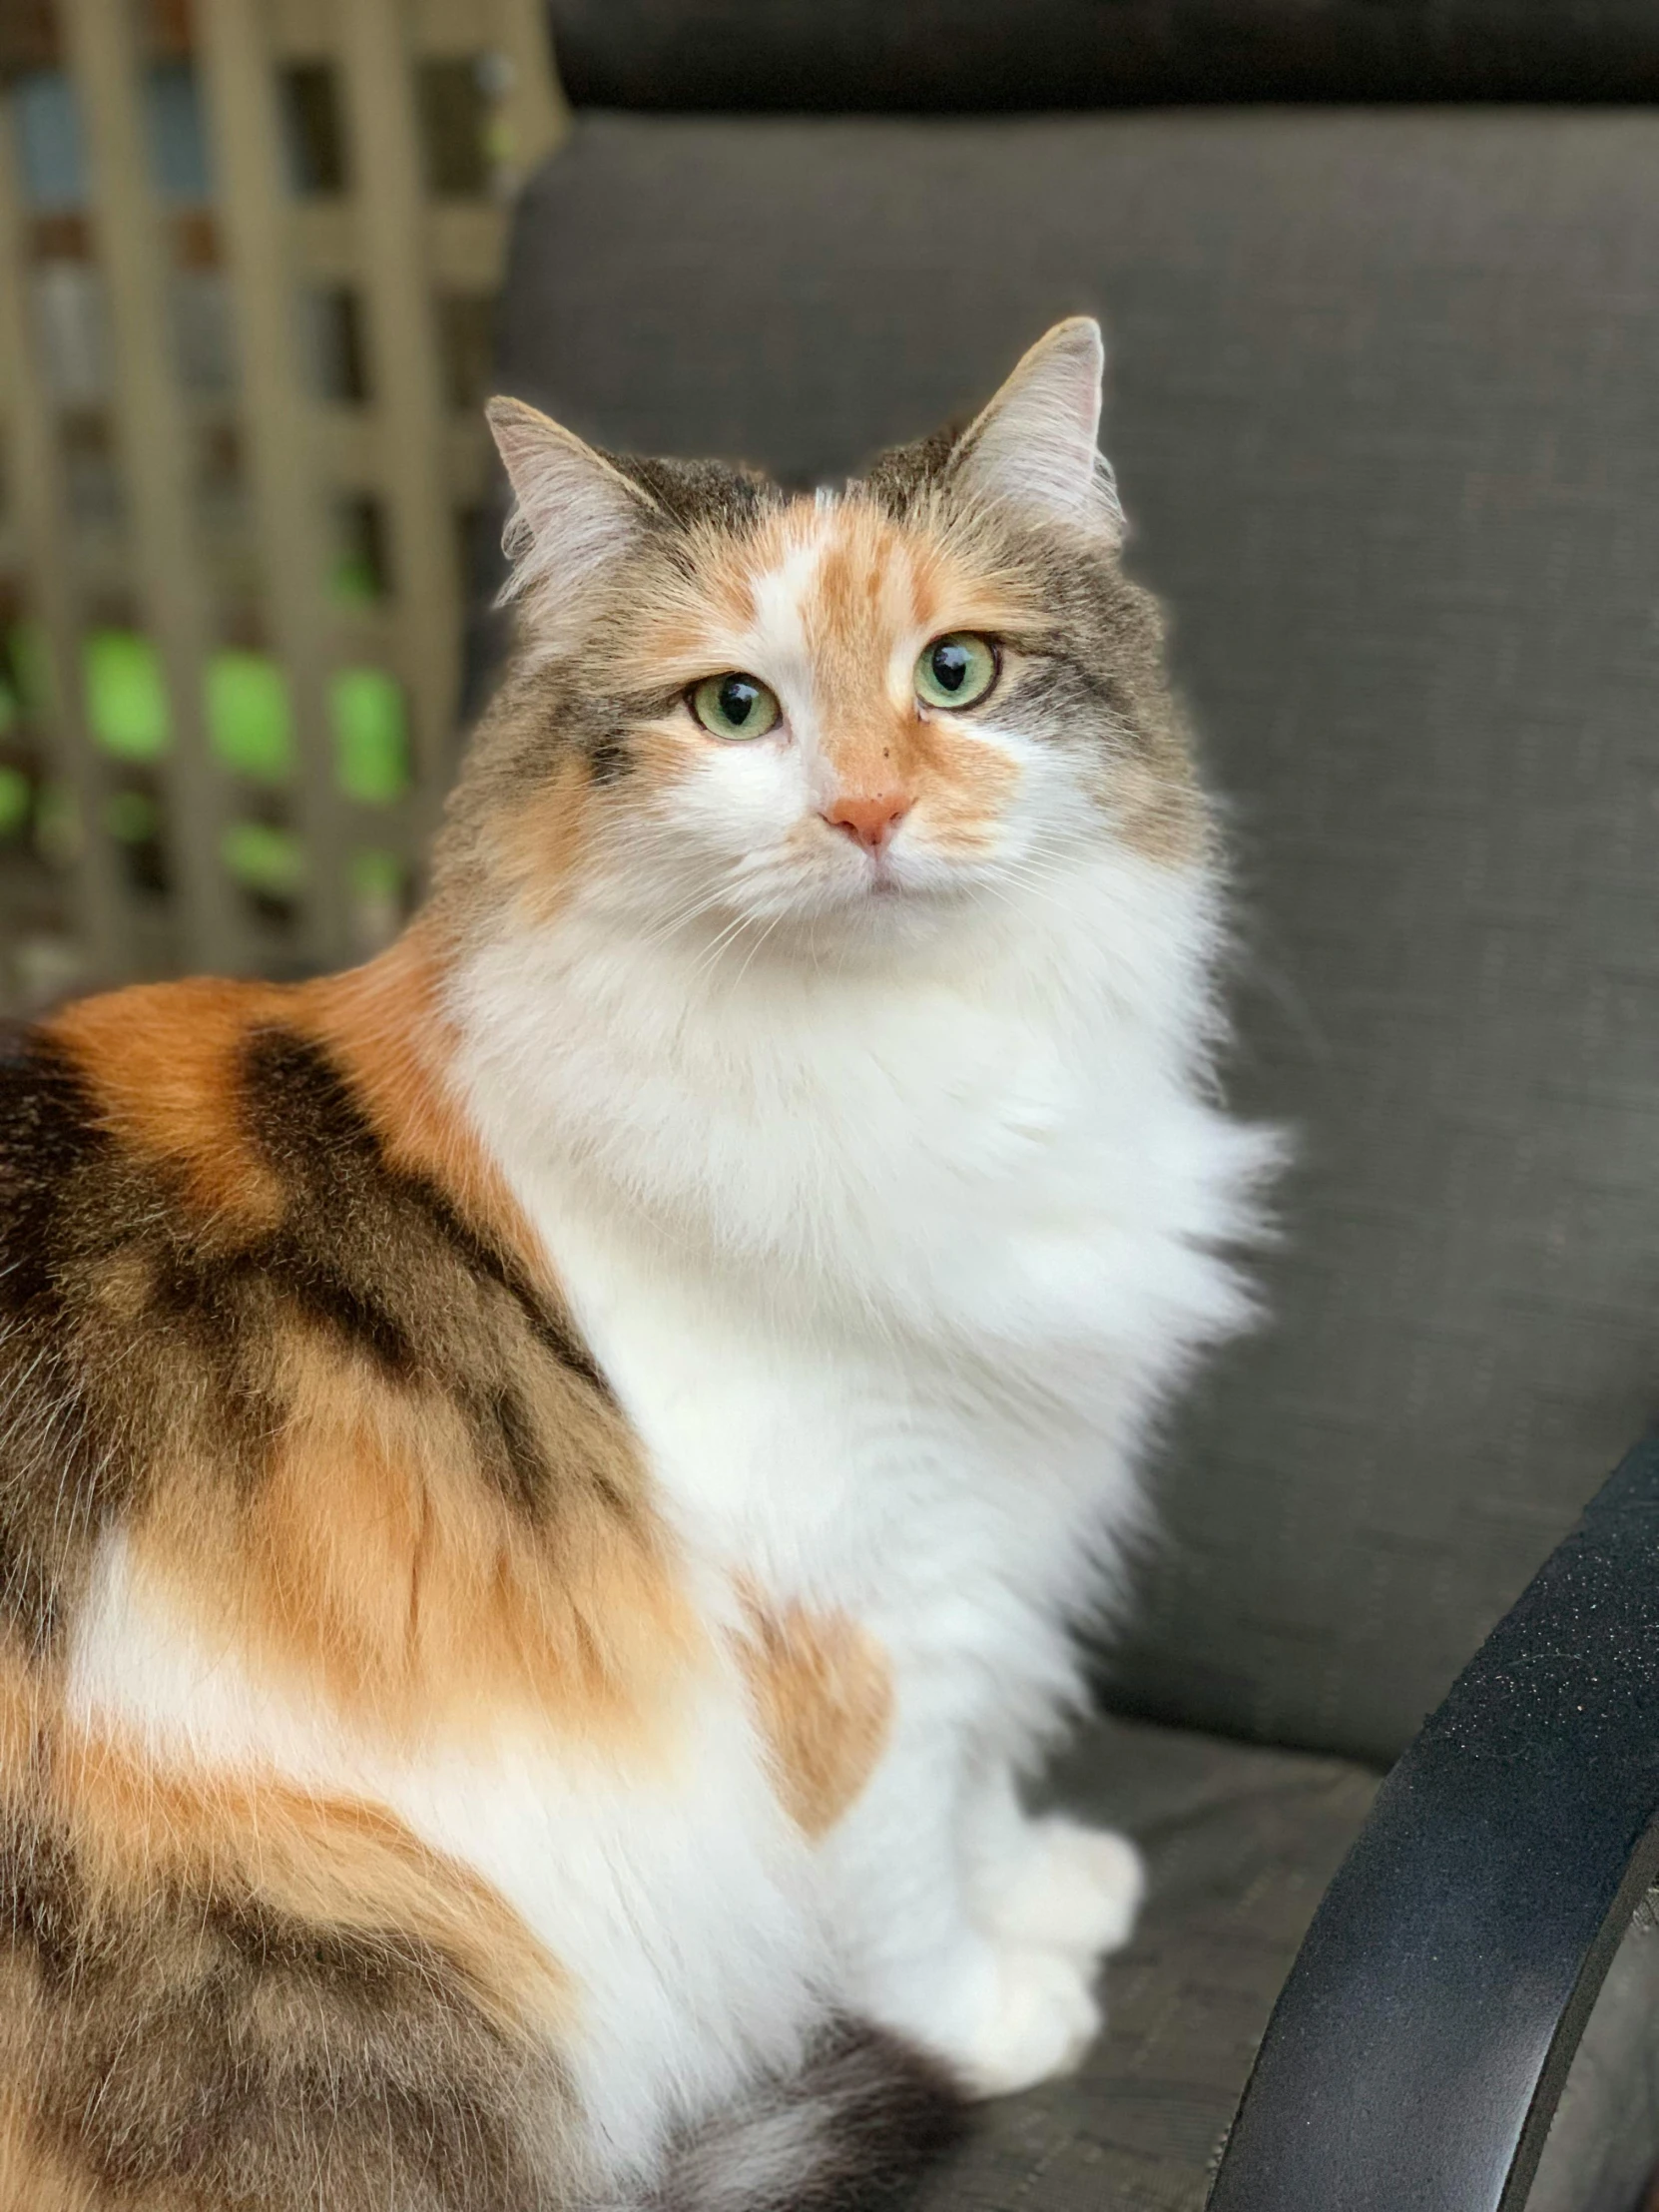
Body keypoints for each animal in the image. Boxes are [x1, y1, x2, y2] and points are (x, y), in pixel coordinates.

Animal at [0, 320, 1274, 2203]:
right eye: (734, 709)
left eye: (956, 675)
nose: (870, 810)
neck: (897, 1065)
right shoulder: (851, 1612)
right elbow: (898, 1867)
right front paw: (992, 2014)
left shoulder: (977, 1525)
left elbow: (974, 1782)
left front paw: (1047, 1885)